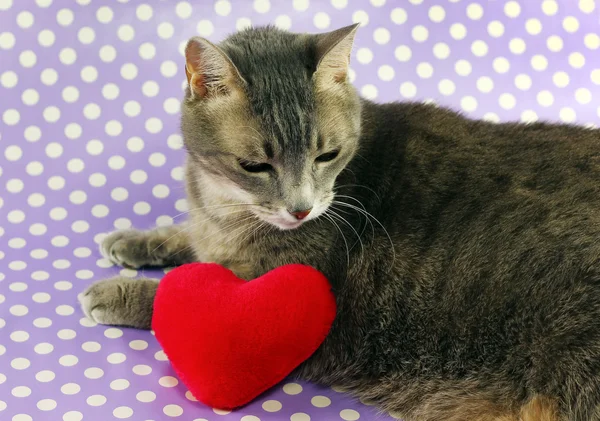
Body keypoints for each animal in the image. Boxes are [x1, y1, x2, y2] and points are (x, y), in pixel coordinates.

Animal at [82, 23, 600, 420]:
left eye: (326, 155)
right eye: (255, 166)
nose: (301, 208)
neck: (226, 206)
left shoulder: (281, 286)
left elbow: (182, 293)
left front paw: (119, 291)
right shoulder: (214, 228)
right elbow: (188, 237)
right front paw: (135, 240)